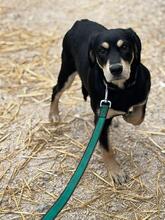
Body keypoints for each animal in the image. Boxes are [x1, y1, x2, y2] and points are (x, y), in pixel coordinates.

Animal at [48, 19, 151, 184]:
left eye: (125, 46)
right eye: (101, 51)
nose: (116, 69)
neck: (120, 89)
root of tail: (80, 21)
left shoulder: (143, 95)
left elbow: (138, 117)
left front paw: (126, 116)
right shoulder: (100, 119)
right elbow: (106, 148)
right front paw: (115, 172)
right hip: (67, 71)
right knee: (56, 90)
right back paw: (53, 114)